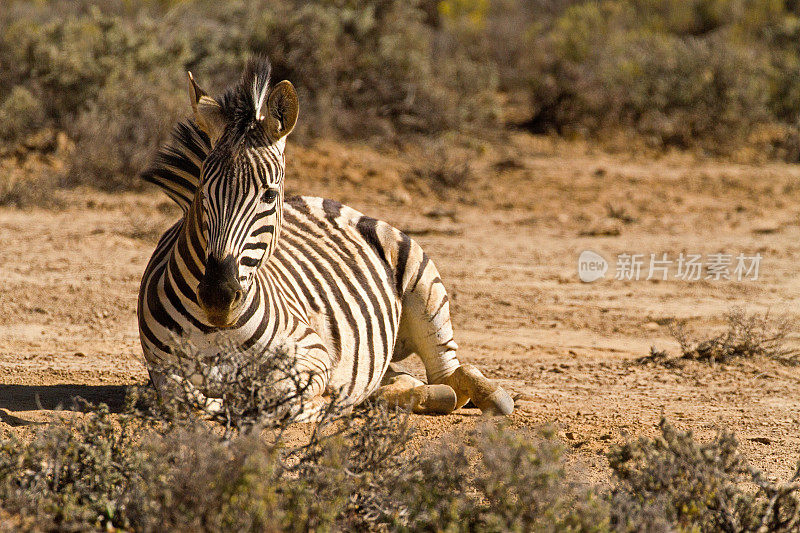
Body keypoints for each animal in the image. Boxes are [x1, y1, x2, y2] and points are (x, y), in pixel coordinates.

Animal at [138, 56, 512, 418]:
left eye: (269, 195)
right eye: (203, 193)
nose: (217, 296)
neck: (216, 330)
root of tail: (324, 200)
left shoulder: (310, 353)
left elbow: (274, 396)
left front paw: (323, 403)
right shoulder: (162, 372)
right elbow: (186, 399)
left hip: (424, 285)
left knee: (450, 371)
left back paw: (491, 396)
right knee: (406, 379)